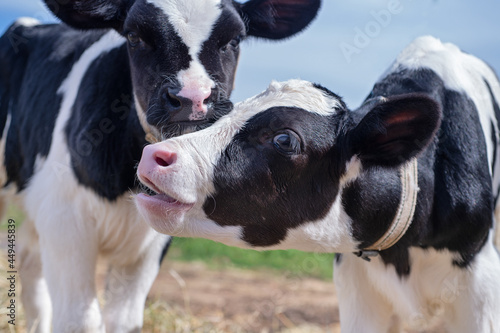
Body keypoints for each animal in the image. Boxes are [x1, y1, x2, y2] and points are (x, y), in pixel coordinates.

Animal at [0, 1, 320, 330]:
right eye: (134, 36)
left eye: (234, 40)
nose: (193, 99)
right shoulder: (63, 219)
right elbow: (81, 321)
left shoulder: (153, 238)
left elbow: (125, 321)